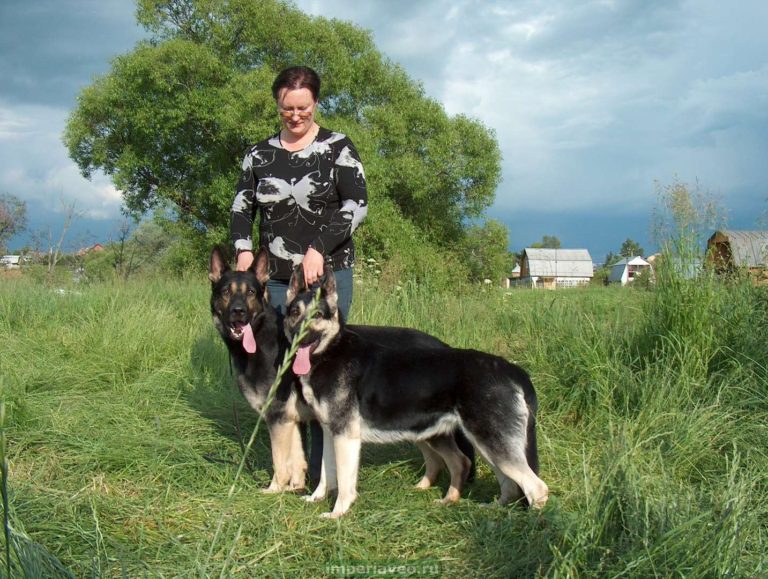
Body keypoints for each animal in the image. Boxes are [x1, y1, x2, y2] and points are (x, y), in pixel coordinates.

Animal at [208, 246, 475, 495]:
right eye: (226, 292)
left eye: (250, 292)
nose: (238, 312)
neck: (263, 338)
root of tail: (444, 346)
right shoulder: (291, 420)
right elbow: (297, 461)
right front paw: (296, 489)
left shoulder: (278, 419)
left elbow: (280, 462)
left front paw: (274, 491)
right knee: (437, 459)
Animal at [284, 266, 549, 518]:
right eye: (295, 313)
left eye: (318, 315)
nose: (298, 338)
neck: (330, 351)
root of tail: (512, 370)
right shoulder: (331, 434)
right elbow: (326, 474)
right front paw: (316, 499)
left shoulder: (345, 437)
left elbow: (344, 482)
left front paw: (338, 513)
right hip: (480, 443)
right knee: (492, 476)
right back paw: (483, 507)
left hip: (492, 443)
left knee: (536, 488)